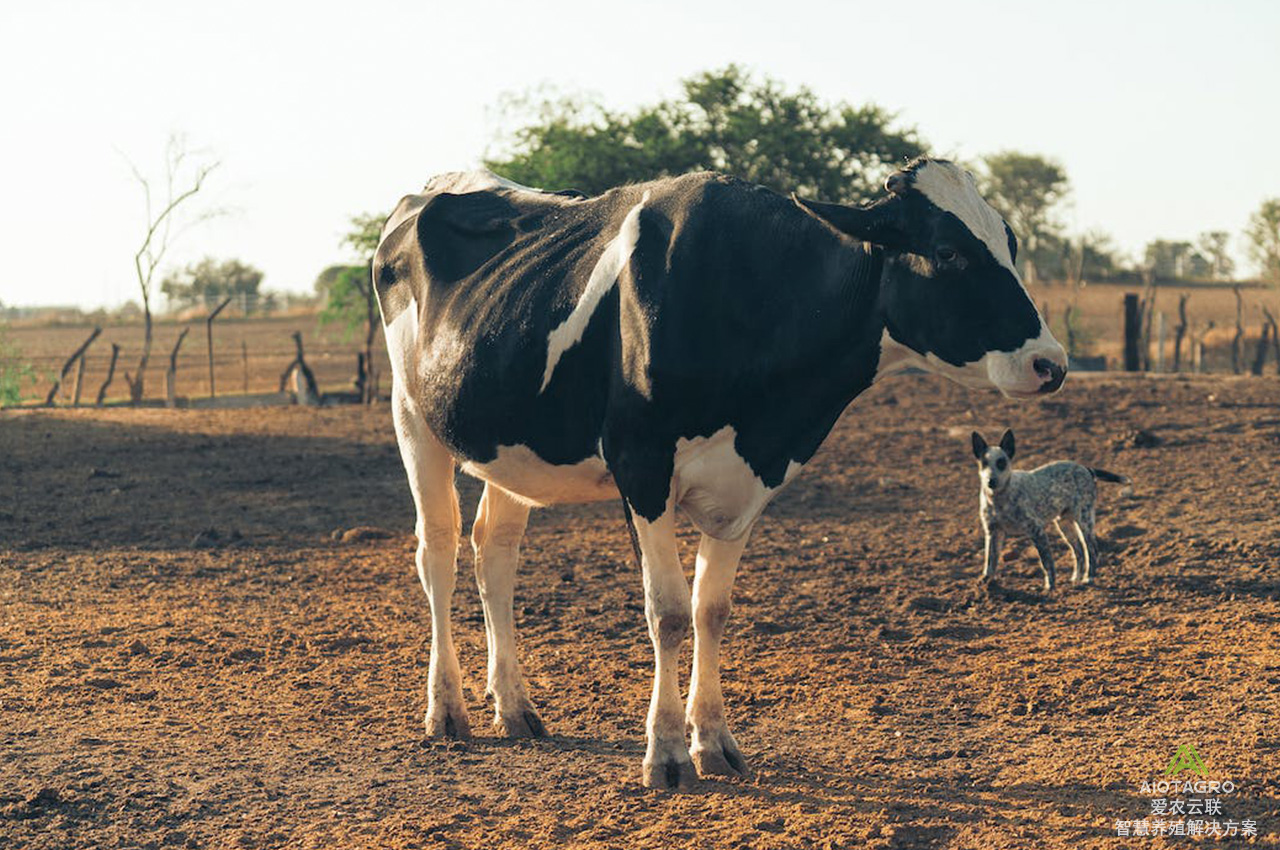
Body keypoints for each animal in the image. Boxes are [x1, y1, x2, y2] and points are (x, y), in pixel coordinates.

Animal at [373, 159, 1070, 788]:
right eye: (949, 251)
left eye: (1009, 243)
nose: (1051, 363)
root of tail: (439, 185)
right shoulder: (641, 465)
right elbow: (668, 612)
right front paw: (666, 756)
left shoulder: (749, 483)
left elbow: (711, 609)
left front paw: (713, 744)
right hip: (413, 416)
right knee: (438, 551)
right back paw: (447, 712)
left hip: (512, 447)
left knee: (494, 552)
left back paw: (515, 709)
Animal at [972, 432, 1126, 591]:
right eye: (984, 463)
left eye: (1001, 463)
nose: (991, 481)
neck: (999, 498)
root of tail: (1085, 468)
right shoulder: (992, 532)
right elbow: (990, 562)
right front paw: (986, 584)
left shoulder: (1036, 530)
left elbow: (1046, 562)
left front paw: (1050, 586)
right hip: (1064, 524)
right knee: (1078, 551)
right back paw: (1075, 579)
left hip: (1084, 520)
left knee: (1092, 549)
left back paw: (1088, 578)